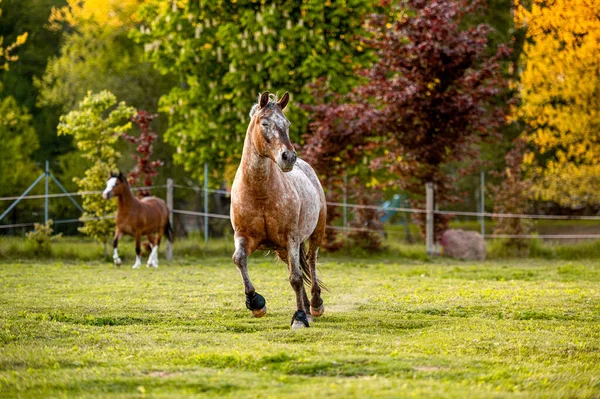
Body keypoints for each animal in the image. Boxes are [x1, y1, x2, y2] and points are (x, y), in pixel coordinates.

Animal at [231, 92, 328, 330]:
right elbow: (239, 260)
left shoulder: (291, 238)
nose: (288, 157)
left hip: (315, 234)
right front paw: (255, 303)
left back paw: (315, 306)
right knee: (299, 268)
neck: (260, 193)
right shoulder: (243, 236)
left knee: (311, 262)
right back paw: (307, 309)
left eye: (287, 124)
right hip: (283, 250)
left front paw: (299, 318)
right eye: (265, 123)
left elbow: (295, 278)